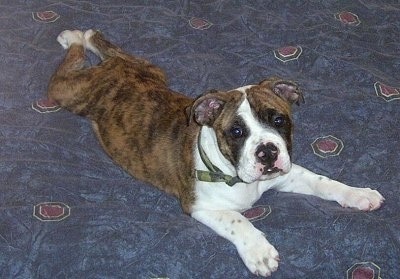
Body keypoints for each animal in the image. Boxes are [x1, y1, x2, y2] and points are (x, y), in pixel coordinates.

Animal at [47, 30, 384, 278]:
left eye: (278, 120)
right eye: (236, 132)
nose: (267, 152)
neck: (239, 178)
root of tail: (115, 73)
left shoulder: (287, 174)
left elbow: (322, 181)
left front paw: (358, 194)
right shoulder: (201, 207)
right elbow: (239, 220)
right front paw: (259, 253)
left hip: (149, 68)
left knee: (111, 48)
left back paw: (84, 36)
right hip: (68, 92)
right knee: (68, 66)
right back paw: (71, 38)